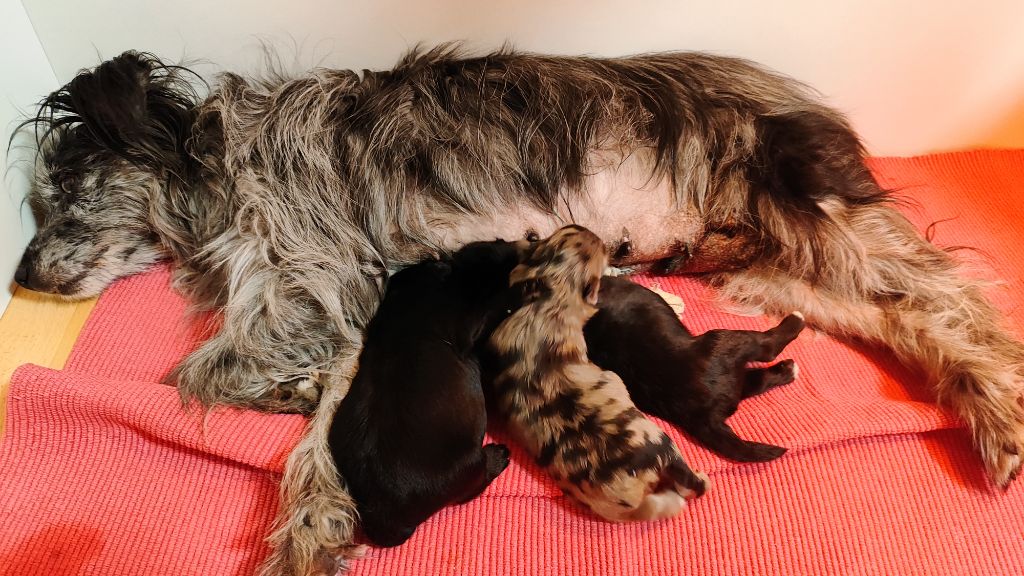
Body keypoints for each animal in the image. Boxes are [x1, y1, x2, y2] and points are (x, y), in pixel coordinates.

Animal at [327, 239, 520, 545]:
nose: (512, 244)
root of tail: (381, 513)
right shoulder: (468, 327)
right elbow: (496, 303)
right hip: (469, 467)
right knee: (474, 484)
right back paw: (498, 456)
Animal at [585, 278, 806, 461]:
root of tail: (704, 416)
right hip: (727, 340)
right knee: (767, 348)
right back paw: (796, 322)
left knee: (756, 379)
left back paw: (788, 369)